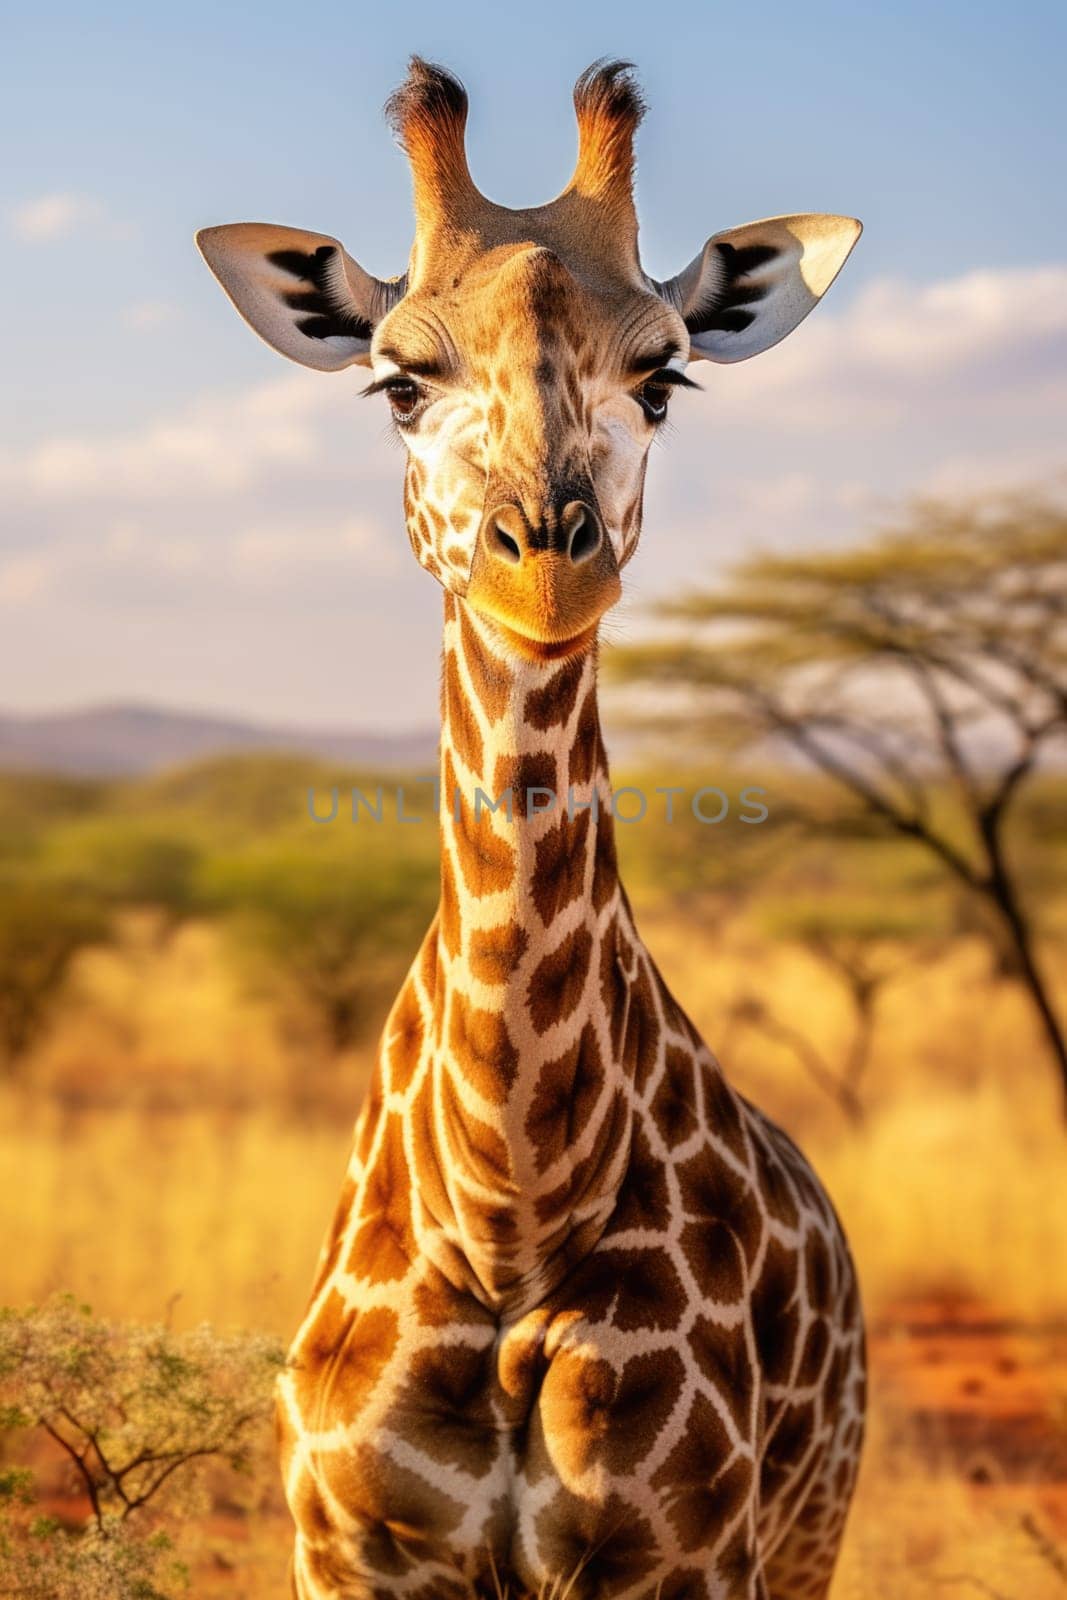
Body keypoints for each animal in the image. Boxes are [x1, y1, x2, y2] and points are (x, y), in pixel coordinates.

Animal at [198, 56, 870, 1593]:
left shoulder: (683, 1558)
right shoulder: (345, 1549)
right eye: (398, 380)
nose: (546, 565)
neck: (510, 1208)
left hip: (816, 1527)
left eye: (663, 375)